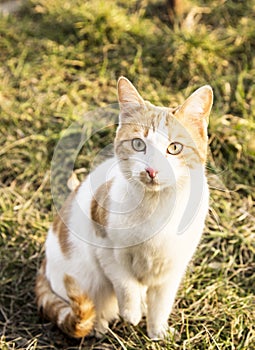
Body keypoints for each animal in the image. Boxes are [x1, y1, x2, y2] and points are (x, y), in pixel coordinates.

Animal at [34, 76, 213, 340]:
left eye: (174, 148)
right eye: (138, 144)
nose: (152, 170)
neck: (156, 206)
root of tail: (45, 265)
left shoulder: (173, 265)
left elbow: (162, 302)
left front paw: (157, 332)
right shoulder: (106, 247)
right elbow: (125, 283)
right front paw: (131, 313)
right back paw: (100, 325)